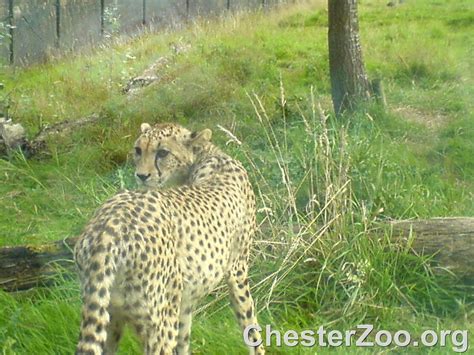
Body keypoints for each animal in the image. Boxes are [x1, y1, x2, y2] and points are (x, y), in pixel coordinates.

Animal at [75, 123, 264, 355]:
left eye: (163, 152)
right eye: (138, 150)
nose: (142, 176)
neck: (208, 155)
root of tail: (110, 223)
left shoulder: (184, 301)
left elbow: (184, 340)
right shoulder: (237, 271)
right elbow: (250, 324)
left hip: (111, 314)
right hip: (158, 322)